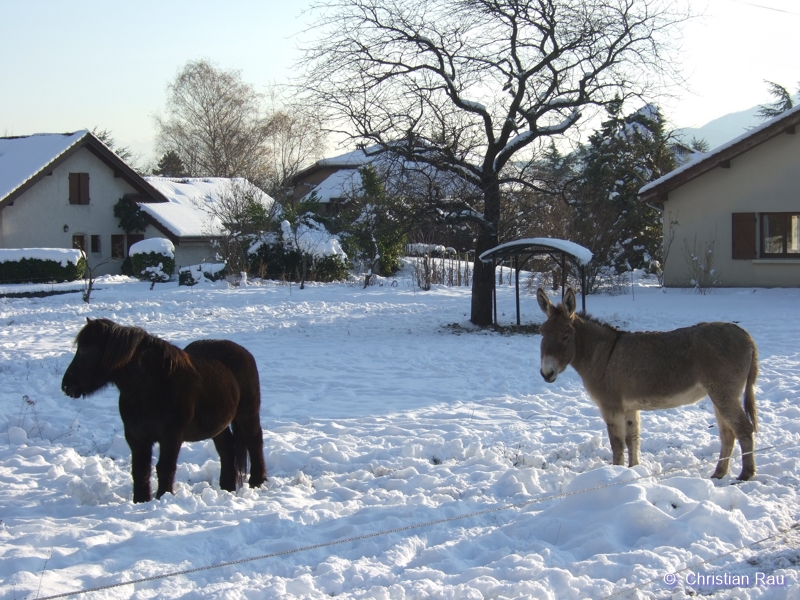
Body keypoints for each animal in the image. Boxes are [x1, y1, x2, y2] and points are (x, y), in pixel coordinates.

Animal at [62, 318, 268, 502]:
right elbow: (140, 469)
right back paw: (227, 486)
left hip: (247, 414)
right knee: (226, 448)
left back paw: (256, 481)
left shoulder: (171, 436)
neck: (152, 385)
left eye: (86, 350)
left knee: (254, 441)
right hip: (218, 424)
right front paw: (141, 500)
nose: (66, 385)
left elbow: (165, 468)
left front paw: (163, 496)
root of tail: (243, 352)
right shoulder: (136, 437)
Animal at [536, 288, 756, 480]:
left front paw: (612, 475)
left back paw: (745, 475)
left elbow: (617, 444)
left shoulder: (611, 407)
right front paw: (632, 471)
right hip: (720, 395)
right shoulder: (629, 407)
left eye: (566, 336)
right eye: (542, 333)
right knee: (728, 434)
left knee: (744, 429)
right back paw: (719, 474)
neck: (602, 355)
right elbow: (632, 439)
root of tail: (746, 335)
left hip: (724, 393)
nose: (546, 373)